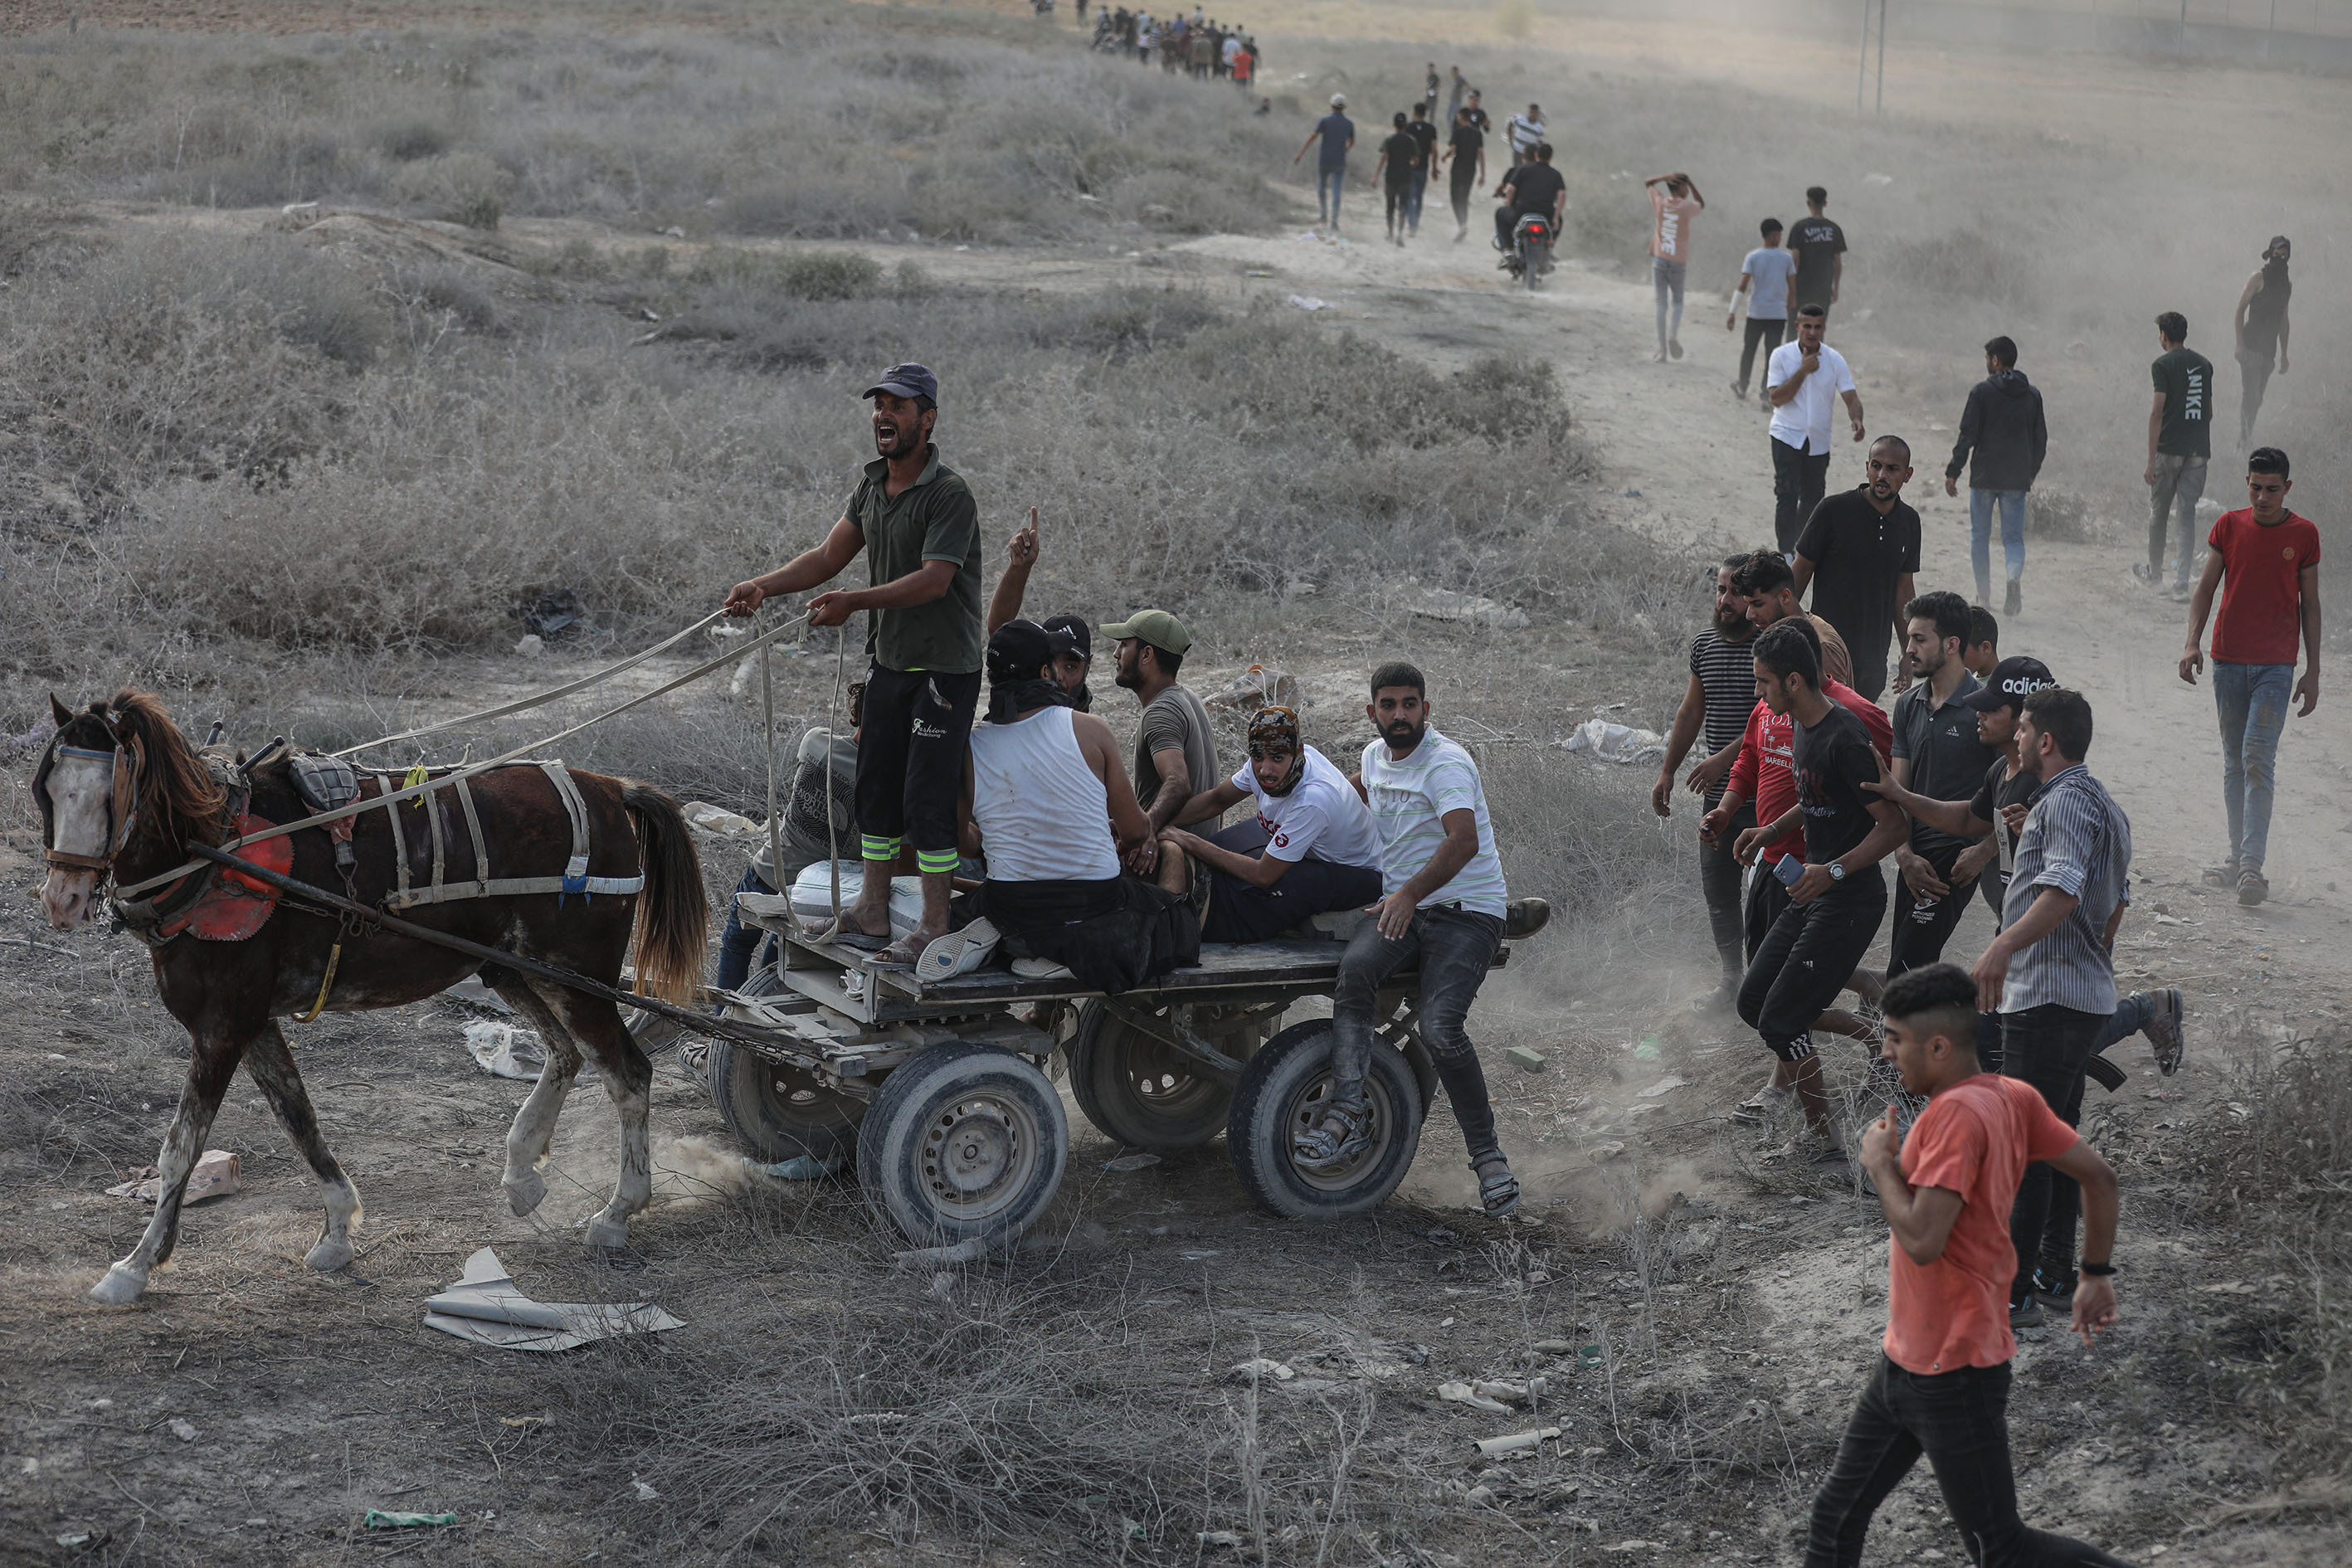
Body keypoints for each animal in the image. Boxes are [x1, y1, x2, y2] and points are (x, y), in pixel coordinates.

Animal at [32, 691, 705, 1307]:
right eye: (48, 791)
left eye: (111, 793)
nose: (63, 899)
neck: (212, 852)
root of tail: (612, 789)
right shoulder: (252, 1024)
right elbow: (300, 1119)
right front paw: (336, 1228)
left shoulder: (222, 1027)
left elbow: (180, 1150)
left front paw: (136, 1266)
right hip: (511, 969)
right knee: (564, 1052)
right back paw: (522, 1173)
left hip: (573, 977)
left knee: (627, 1073)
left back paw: (617, 1214)